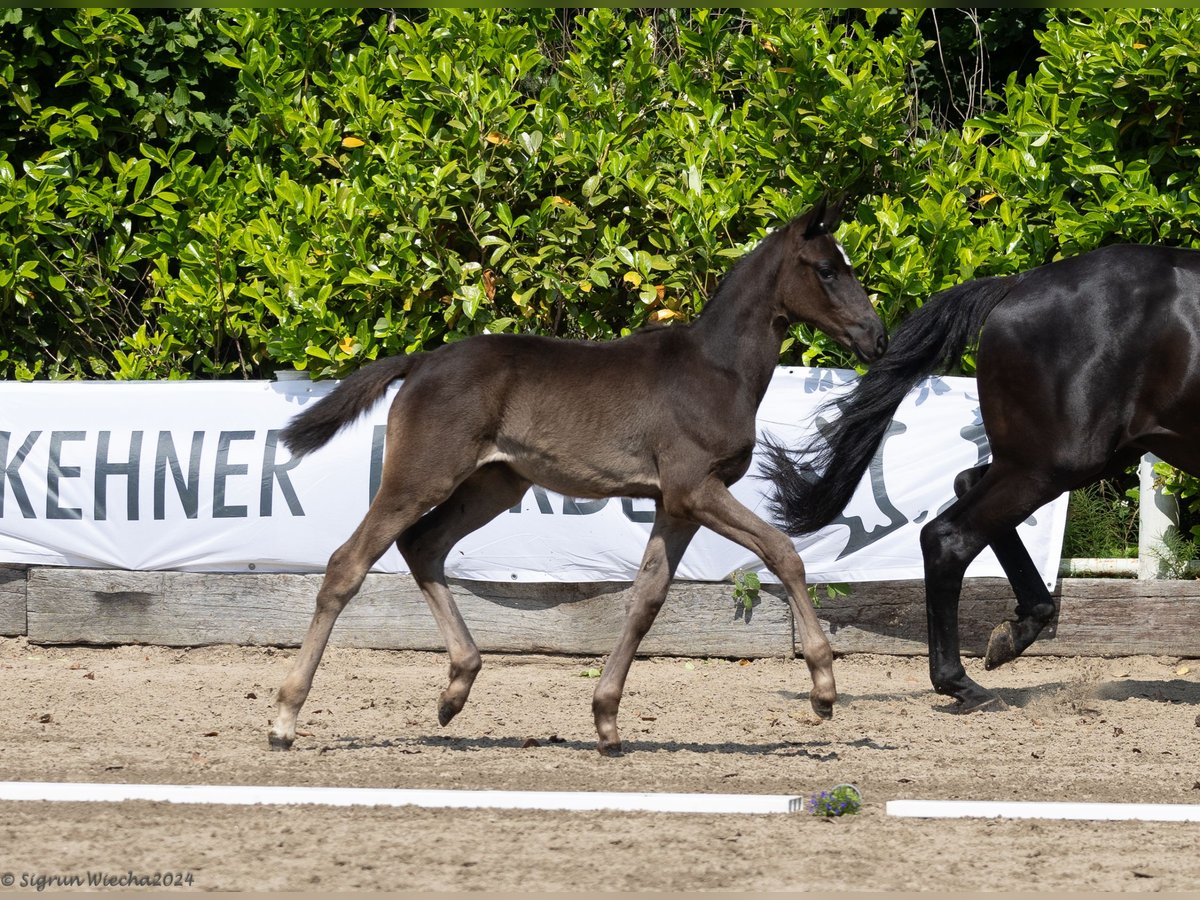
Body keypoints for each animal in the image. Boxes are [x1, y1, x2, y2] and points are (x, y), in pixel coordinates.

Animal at [763, 247, 1200, 710]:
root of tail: (1021, 281)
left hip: (1069, 457)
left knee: (966, 486)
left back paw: (1011, 637)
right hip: (1057, 462)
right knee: (948, 535)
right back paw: (962, 683)